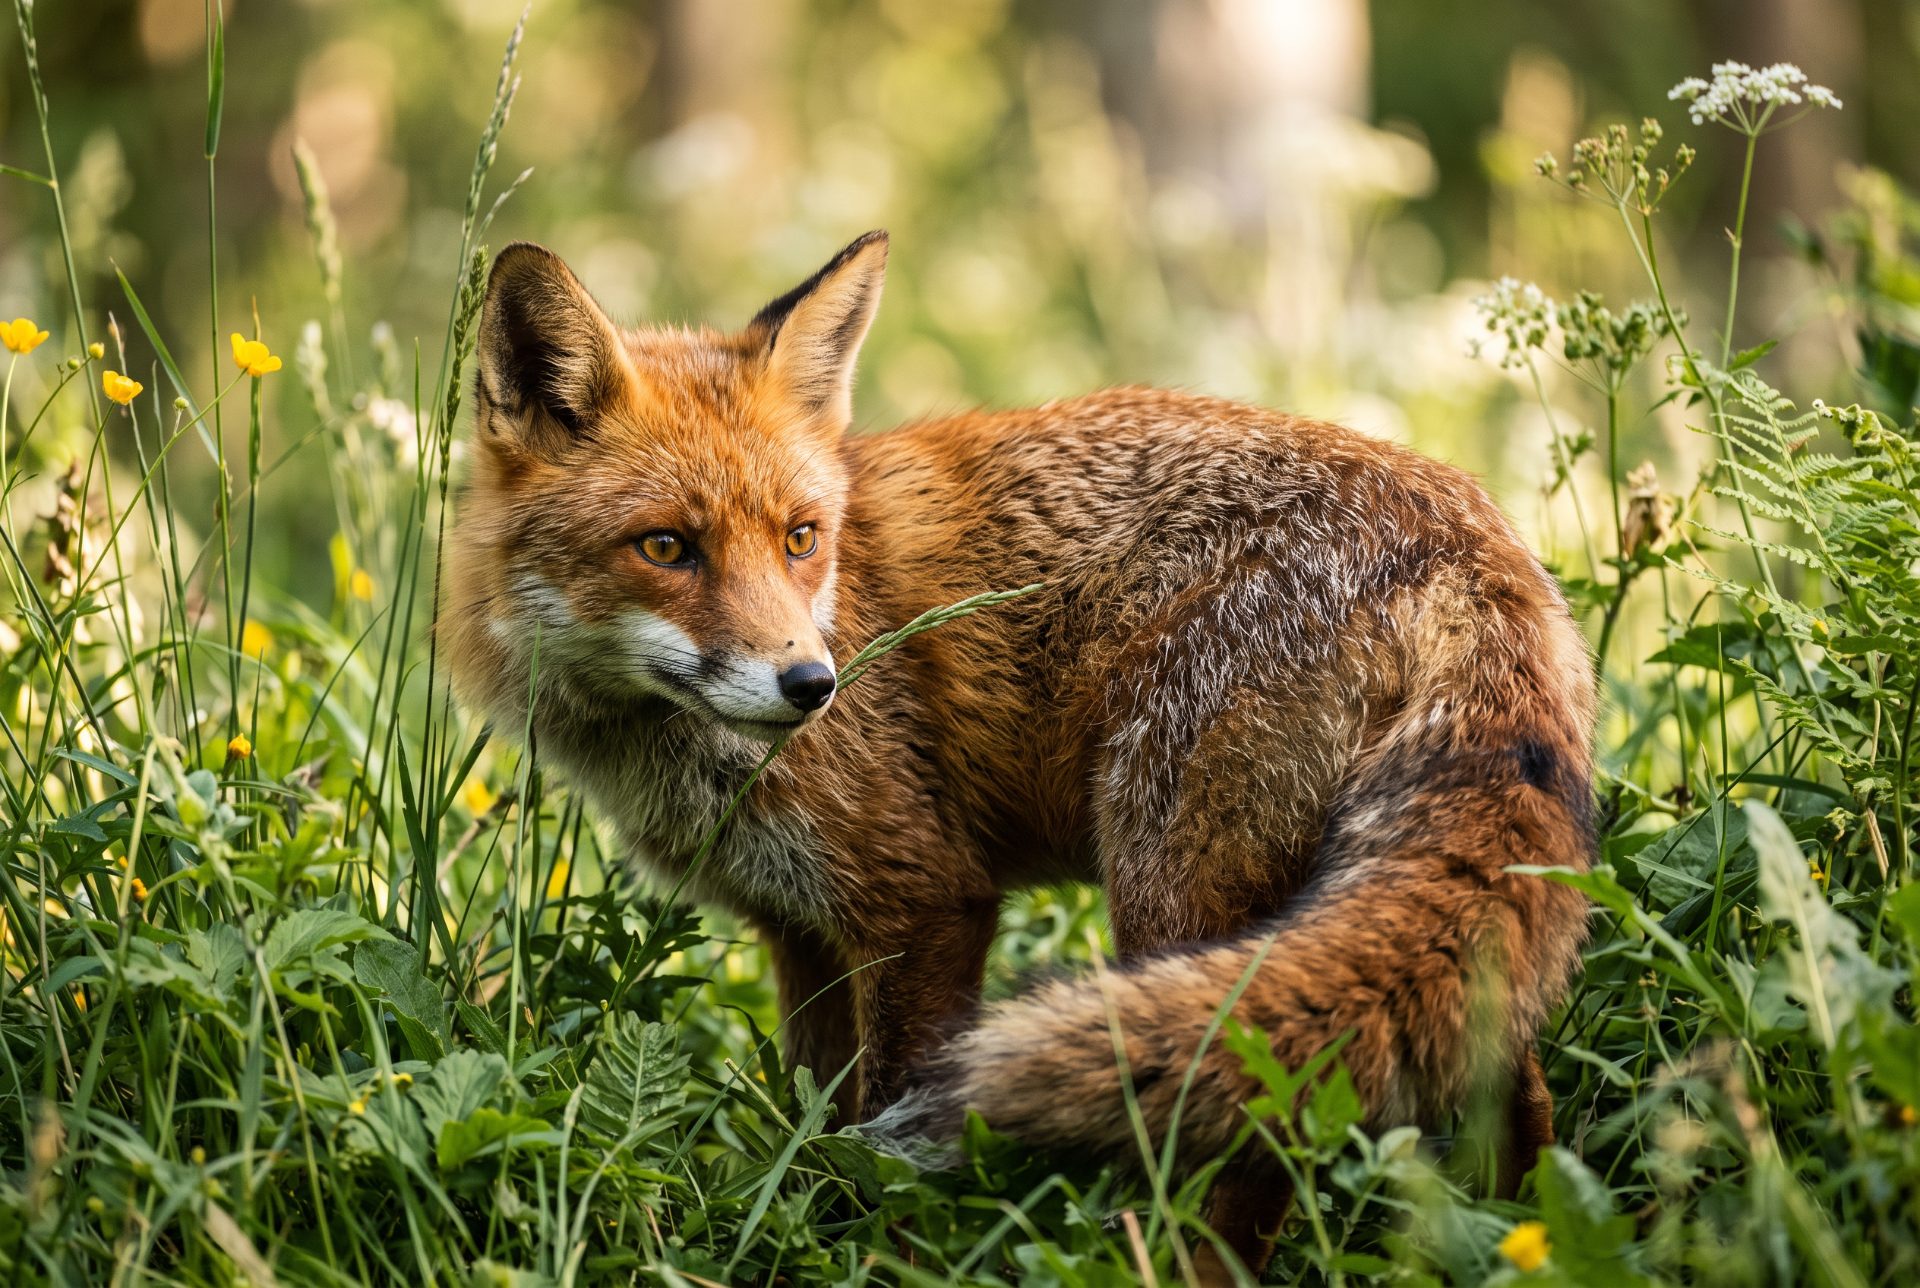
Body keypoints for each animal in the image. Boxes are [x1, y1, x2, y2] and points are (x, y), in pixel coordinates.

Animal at [443, 229, 1595, 1280]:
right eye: (667, 548)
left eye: (800, 538)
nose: (813, 686)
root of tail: (1467, 532)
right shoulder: (799, 930)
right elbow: (816, 1126)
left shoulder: (923, 898)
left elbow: (882, 1144)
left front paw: (888, 1258)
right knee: (1501, 1078)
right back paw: (1522, 1240)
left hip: (1170, 893)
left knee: (1265, 1116)